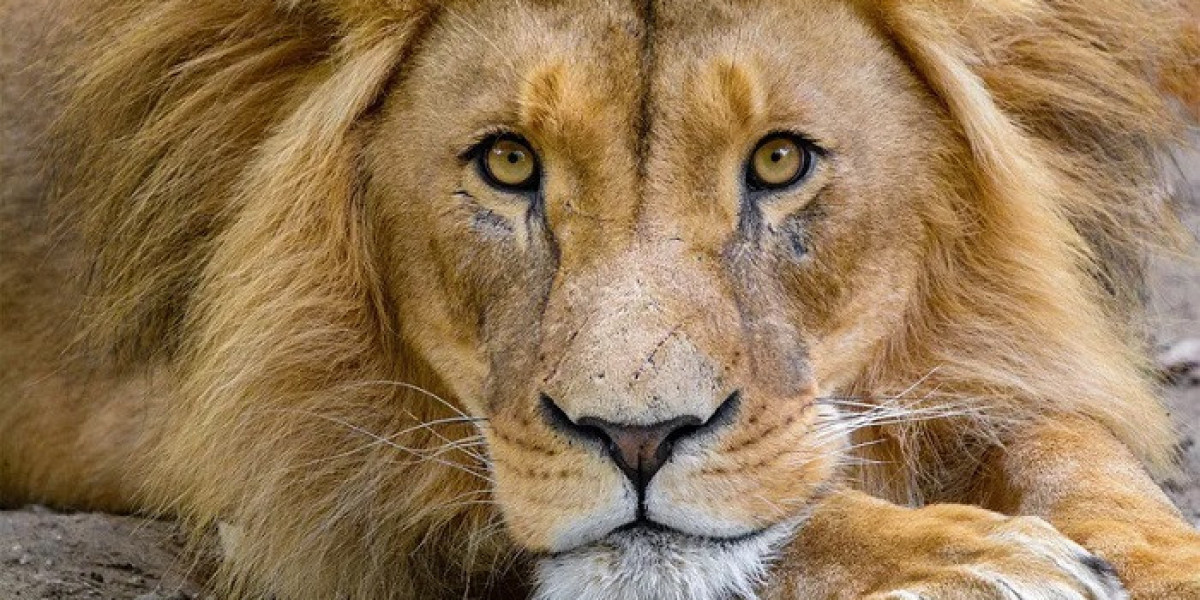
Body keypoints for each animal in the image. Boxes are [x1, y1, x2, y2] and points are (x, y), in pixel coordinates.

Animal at [2, 0, 1200, 598]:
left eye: (777, 161)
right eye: (508, 165)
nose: (638, 440)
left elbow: (1072, 449)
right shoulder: (288, 455)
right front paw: (980, 559)